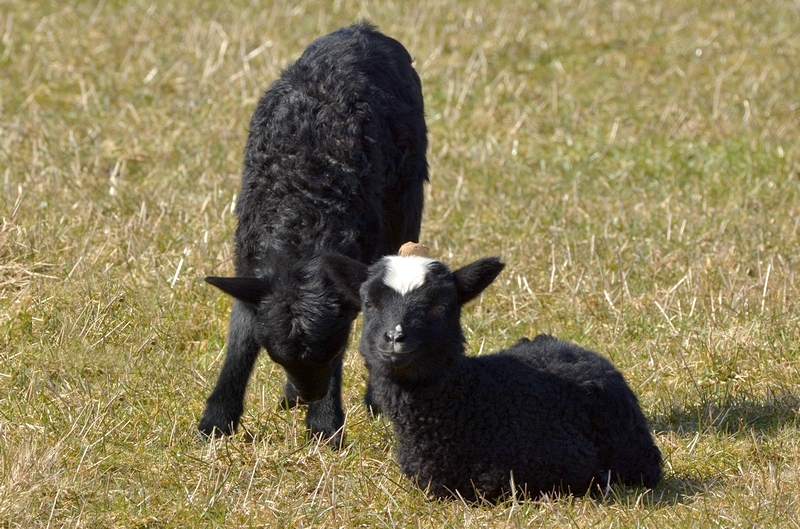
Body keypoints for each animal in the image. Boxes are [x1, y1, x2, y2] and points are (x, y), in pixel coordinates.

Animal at [200, 22, 428, 448]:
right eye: (277, 356)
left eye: (333, 349)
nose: (311, 396)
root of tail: (363, 29)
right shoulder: (249, 262)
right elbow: (241, 335)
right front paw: (216, 421)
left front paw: (324, 424)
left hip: (406, 201)